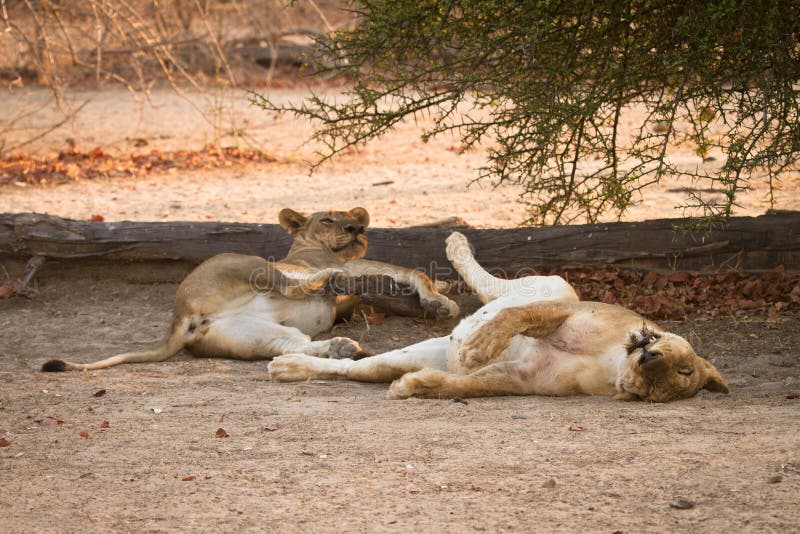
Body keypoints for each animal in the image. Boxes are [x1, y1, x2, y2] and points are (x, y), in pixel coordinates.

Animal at [42, 207, 456, 374]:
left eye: (353, 219)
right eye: (327, 219)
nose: (357, 228)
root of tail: (181, 318)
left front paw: (440, 293)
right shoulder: (348, 263)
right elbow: (408, 270)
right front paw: (441, 300)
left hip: (253, 335)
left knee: (293, 345)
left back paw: (343, 348)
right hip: (247, 260)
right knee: (291, 285)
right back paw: (329, 286)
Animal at [266, 232, 728, 404]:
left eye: (662, 388)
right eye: (685, 366)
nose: (650, 359)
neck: (613, 360)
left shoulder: (523, 379)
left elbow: (467, 384)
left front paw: (417, 386)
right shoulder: (561, 311)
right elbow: (514, 320)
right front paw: (477, 347)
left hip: (405, 356)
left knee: (354, 369)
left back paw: (290, 367)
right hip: (556, 283)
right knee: (490, 289)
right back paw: (456, 247)